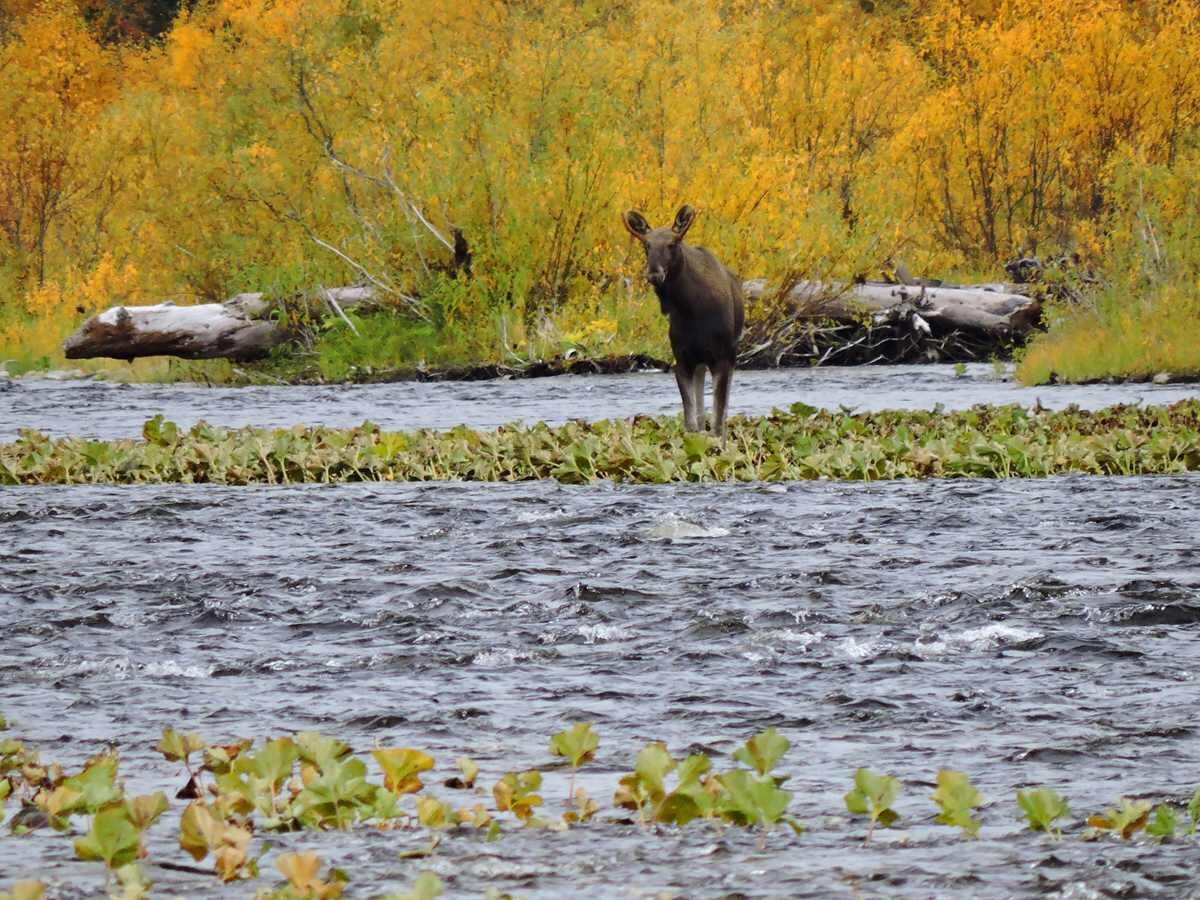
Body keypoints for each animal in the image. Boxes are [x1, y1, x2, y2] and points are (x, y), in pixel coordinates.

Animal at [624, 207, 744, 441]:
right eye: (646, 245)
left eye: (673, 243)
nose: (654, 273)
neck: (691, 308)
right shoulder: (682, 360)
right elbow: (690, 421)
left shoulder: (722, 358)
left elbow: (718, 420)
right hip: (699, 362)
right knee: (700, 408)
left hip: (729, 355)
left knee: (722, 411)